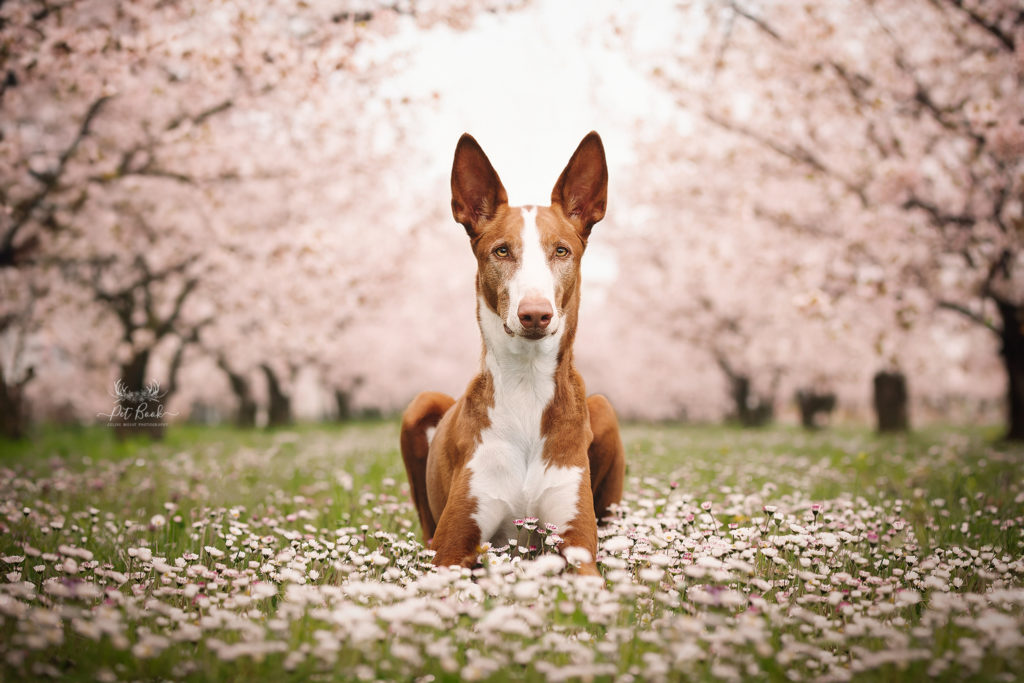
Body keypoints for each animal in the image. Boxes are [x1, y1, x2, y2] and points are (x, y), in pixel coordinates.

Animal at [397, 131, 622, 573]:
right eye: (502, 251)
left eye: (561, 251)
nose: (535, 313)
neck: (527, 384)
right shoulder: (451, 551)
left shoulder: (579, 549)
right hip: (421, 405)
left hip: (603, 408)